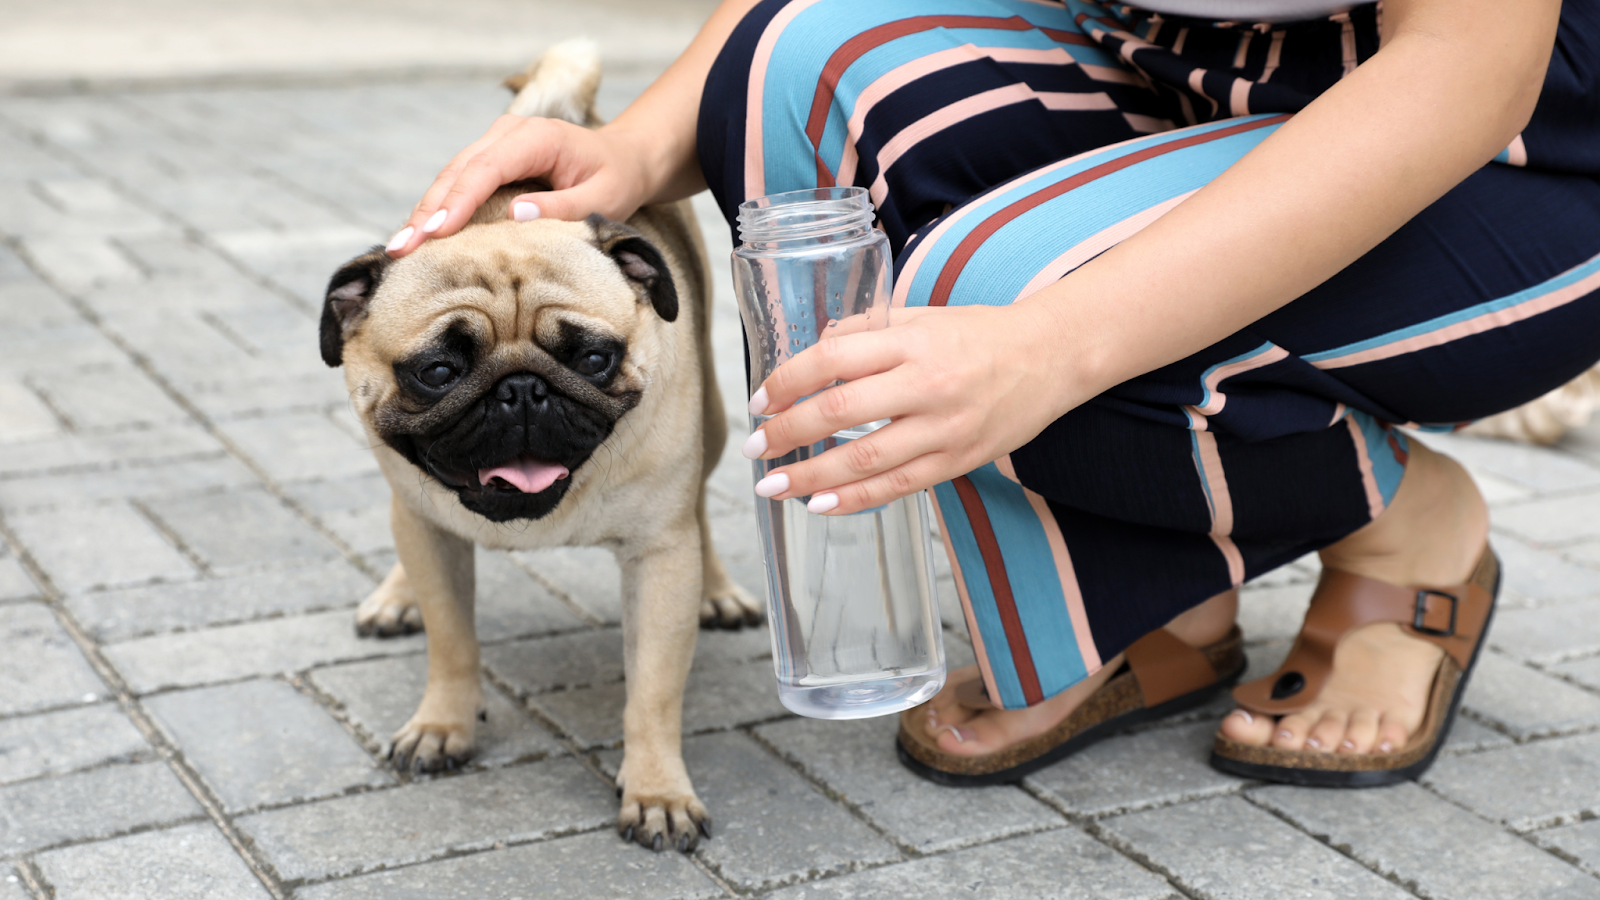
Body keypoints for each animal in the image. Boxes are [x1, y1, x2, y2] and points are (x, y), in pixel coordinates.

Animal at [316, 42, 761, 851]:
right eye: (436, 371)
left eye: (592, 357)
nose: (521, 390)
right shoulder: (431, 536)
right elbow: (451, 642)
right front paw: (442, 725)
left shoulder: (659, 560)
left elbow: (653, 692)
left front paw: (657, 790)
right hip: (408, 505)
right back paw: (394, 597)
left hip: (714, 426)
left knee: (703, 513)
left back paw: (718, 590)